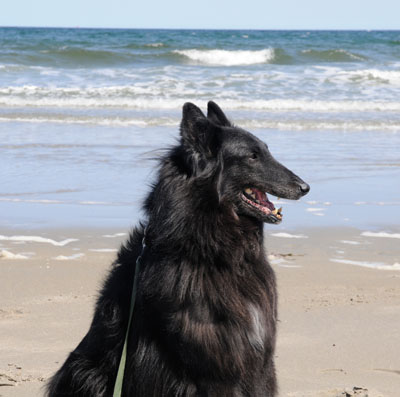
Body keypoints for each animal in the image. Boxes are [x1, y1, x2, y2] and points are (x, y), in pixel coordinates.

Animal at [47, 103, 310, 396]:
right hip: (85, 371)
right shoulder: (214, 366)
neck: (217, 255)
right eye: (252, 156)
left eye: (265, 151)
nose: (305, 187)